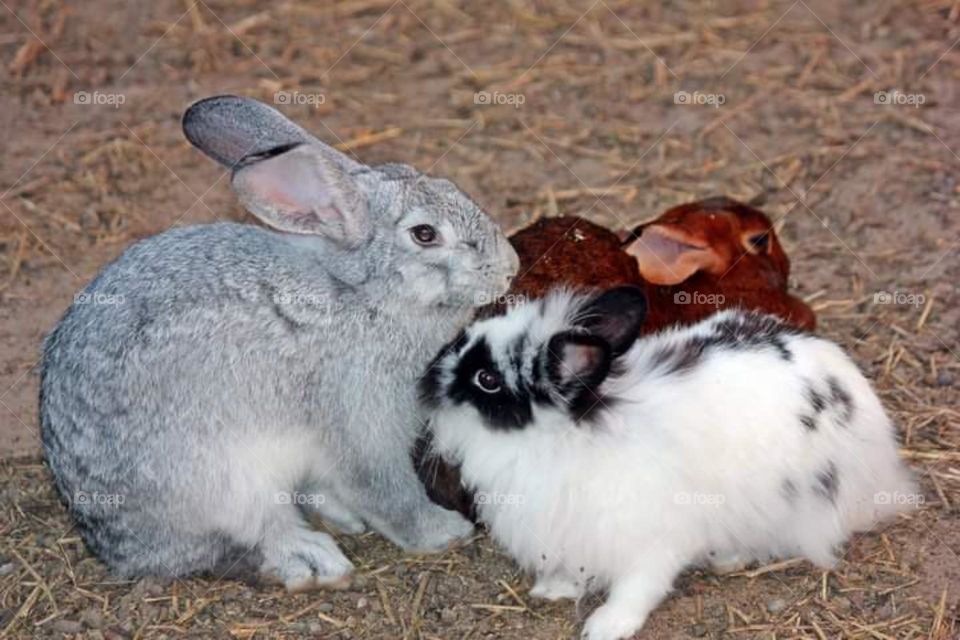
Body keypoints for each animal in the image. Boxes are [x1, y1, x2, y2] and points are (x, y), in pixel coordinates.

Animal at [39, 95, 519, 590]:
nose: (510, 266)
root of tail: (115, 546)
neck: (362, 292)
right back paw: (313, 560)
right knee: (253, 535)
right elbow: (384, 491)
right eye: (425, 234)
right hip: (226, 482)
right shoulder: (360, 418)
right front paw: (443, 532)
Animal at [420, 286, 917, 640]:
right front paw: (554, 589)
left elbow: (639, 586)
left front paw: (606, 626)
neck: (567, 434)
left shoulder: (653, 539)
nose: (427, 377)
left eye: (486, 379)